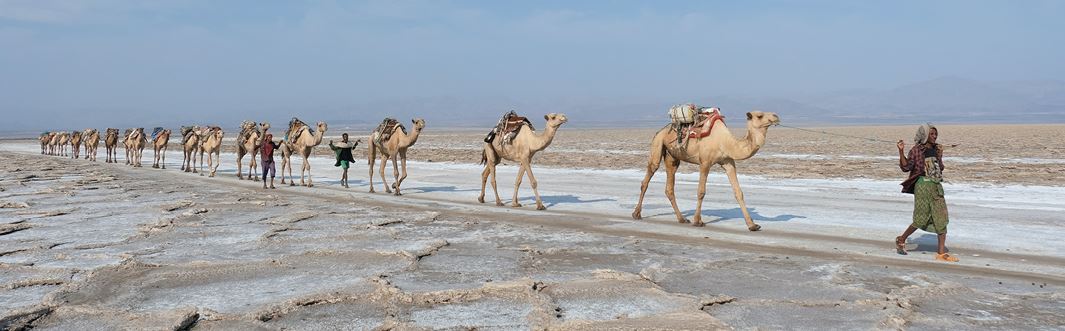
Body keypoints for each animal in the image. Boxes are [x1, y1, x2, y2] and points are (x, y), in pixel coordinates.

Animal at [630, 110, 783, 229]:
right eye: (760, 116)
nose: (776, 116)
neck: (726, 141)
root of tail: (662, 130)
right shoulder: (705, 163)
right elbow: (701, 191)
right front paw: (698, 221)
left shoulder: (728, 162)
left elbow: (738, 192)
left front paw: (752, 225)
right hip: (657, 143)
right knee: (648, 177)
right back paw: (636, 214)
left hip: (672, 157)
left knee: (669, 187)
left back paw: (682, 219)